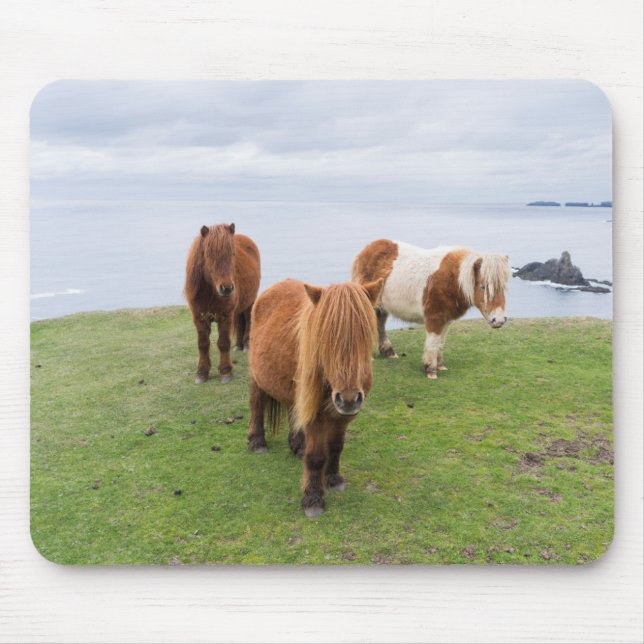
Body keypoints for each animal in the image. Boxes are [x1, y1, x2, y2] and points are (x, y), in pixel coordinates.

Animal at [184, 223, 260, 384]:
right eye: (208, 255)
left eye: (232, 254)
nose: (227, 288)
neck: (210, 293)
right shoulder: (199, 318)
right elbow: (203, 344)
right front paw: (202, 372)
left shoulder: (225, 317)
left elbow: (223, 343)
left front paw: (225, 372)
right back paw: (238, 345)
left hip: (250, 302)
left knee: (248, 319)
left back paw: (246, 345)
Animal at [246, 278, 383, 517]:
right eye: (326, 339)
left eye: (364, 335)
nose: (348, 398)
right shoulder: (316, 416)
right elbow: (317, 456)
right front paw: (313, 499)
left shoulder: (343, 416)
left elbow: (336, 446)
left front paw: (334, 479)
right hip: (257, 378)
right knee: (256, 404)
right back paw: (257, 441)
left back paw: (297, 445)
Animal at [352, 240, 511, 379]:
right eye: (483, 287)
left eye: (503, 288)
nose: (498, 320)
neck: (453, 279)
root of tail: (366, 250)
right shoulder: (434, 317)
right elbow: (433, 343)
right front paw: (430, 370)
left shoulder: (446, 319)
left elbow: (440, 342)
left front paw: (440, 365)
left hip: (381, 307)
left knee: (379, 324)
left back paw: (389, 352)